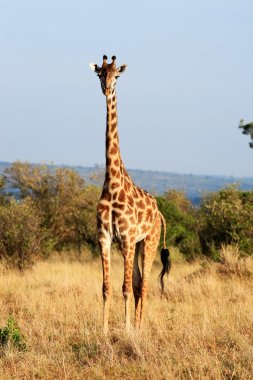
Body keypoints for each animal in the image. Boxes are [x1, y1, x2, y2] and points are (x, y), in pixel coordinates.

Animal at [89, 55, 170, 332]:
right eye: (100, 74)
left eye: (117, 76)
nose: (107, 89)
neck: (112, 184)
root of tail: (159, 212)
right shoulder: (104, 238)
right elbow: (106, 288)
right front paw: (104, 330)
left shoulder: (125, 238)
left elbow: (124, 287)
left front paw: (125, 330)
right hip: (137, 244)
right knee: (138, 284)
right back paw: (136, 324)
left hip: (149, 241)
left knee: (143, 285)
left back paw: (139, 327)